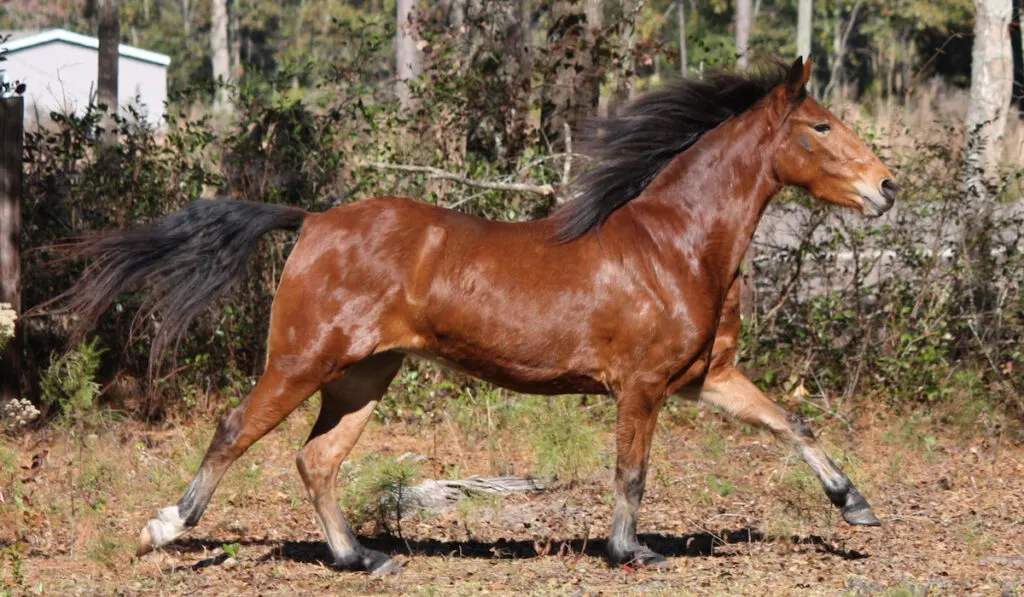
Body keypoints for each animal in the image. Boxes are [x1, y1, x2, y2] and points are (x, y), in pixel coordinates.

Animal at [61, 57, 897, 573]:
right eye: (821, 126)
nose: (888, 186)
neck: (674, 243)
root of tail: (314, 220)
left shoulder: (706, 376)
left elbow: (792, 423)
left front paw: (855, 506)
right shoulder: (642, 385)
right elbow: (632, 471)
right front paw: (631, 551)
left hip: (365, 375)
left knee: (317, 458)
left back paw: (361, 557)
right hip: (304, 359)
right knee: (237, 428)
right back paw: (165, 527)